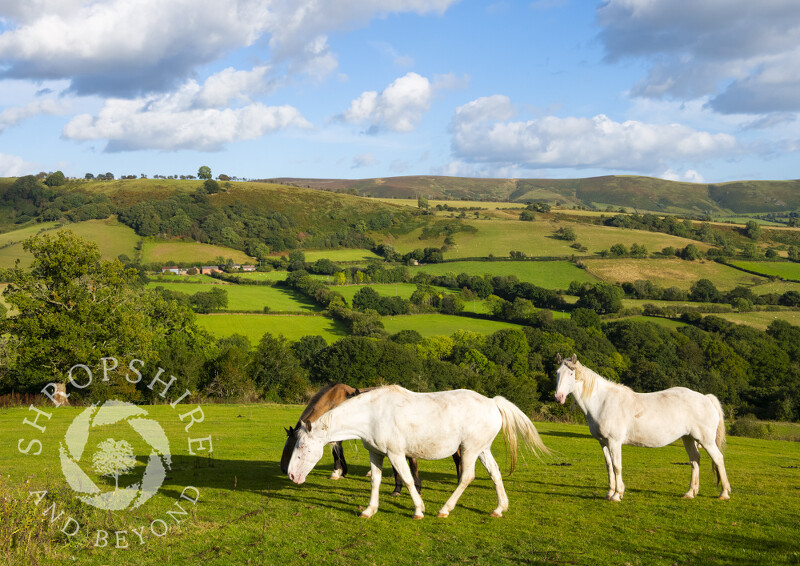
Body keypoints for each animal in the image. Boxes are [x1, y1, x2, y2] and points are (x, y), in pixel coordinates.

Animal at [280, 384, 460, 494]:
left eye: (291, 447)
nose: (284, 470)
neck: (333, 401)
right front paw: (342, 471)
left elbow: (336, 451)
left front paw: (337, 472)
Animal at [556, 356, 732, 502]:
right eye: (557, 373)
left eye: (571, 374)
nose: (558, 397)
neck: (603, 401)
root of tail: (706, 398)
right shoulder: (603, 442)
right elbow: (609, 467)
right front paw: (609, 493)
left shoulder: (614, 442)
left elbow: (617, 466)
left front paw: (617, 495)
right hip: (688, 438)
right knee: (695, 460)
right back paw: (690, 493)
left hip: (706, 441)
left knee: (718, 459)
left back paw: (724, 493)